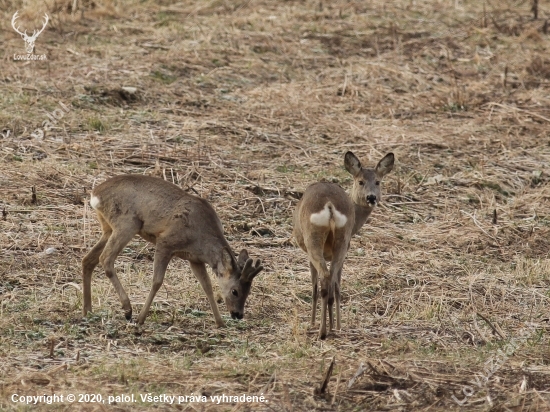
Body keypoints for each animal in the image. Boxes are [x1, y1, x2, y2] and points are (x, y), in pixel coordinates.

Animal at [82, 175, 266, 326]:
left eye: (249, 291)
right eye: (235, 291)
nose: (238, 314)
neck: (201, 237)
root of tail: (95, 195)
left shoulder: (194, 259)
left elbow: (207, 286)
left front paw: (220, 322)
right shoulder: (165, 242)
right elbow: (157, 281)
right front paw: (141, 318)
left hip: (108, 227)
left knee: (88, 260)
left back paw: (88, 311)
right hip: (127, 223)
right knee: (106, 258)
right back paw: (128, 310)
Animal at [296, 151, 394, 338]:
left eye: (377, 181)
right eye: (360, 181)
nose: (372, 197)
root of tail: (329, 205)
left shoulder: (309, 255)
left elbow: (315, 287)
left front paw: (312, 323)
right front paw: (335, 325)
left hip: (313, 239)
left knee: (325, 281)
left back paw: (323, 330)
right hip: (342, 241)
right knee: (331, 282)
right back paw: (331, 328)